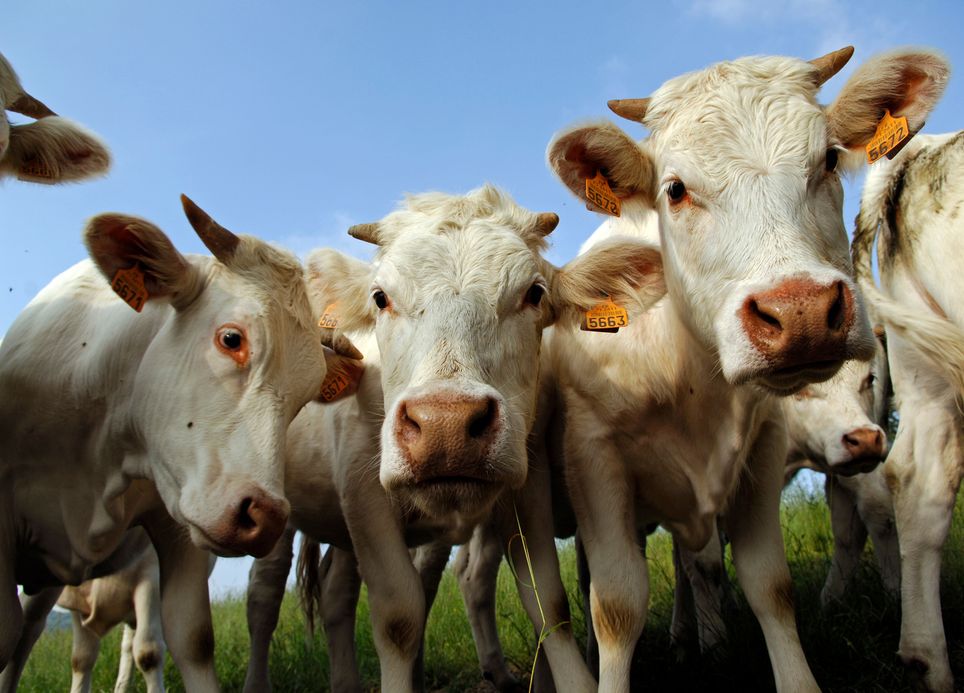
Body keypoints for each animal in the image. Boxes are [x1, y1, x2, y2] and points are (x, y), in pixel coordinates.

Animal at [0, 196, 355, 690]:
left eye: (306, 396)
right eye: (231, 339)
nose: (264, 516)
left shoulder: (177, 529)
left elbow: (190, 640)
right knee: (27, 637)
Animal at [241, 185, 665, 692]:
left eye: (534, 293)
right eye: (380, 297)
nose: (446, 425)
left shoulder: (528, 483)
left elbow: (547, 601)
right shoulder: (363, 492)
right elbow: (398, 615)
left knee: (335, 588)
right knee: (264, 595)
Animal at [539, 46, 947, 692]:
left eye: (829, 159)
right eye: (675, 189)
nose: (801, 310)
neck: (691, 375)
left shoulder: (761, 447)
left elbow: (769, 586)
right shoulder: (594, 460)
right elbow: (618, 605)